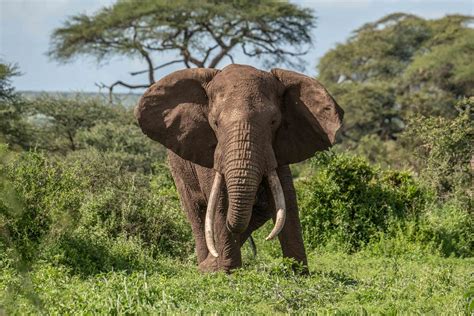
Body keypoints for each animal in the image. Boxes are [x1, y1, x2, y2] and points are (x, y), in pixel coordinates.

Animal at [135, 63, 342, 272]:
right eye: (215, 123)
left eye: (273, 122)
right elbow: (220, 203)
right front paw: (229, 272)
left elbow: (287, 199)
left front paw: (298, 273)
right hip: (178, 168)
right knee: (197, 213)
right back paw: (205, 267)